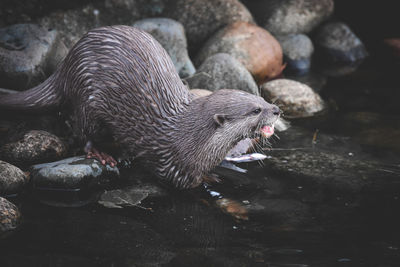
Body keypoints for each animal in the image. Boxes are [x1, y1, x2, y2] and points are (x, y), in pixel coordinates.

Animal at [0, 24, 280, 188]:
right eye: (255, 110)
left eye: (260, 99)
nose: (276, 110)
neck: (190, 140)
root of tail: (68, 62)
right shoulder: (171, 166)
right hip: (87, 95)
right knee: (82, 130)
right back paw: (102, 154)